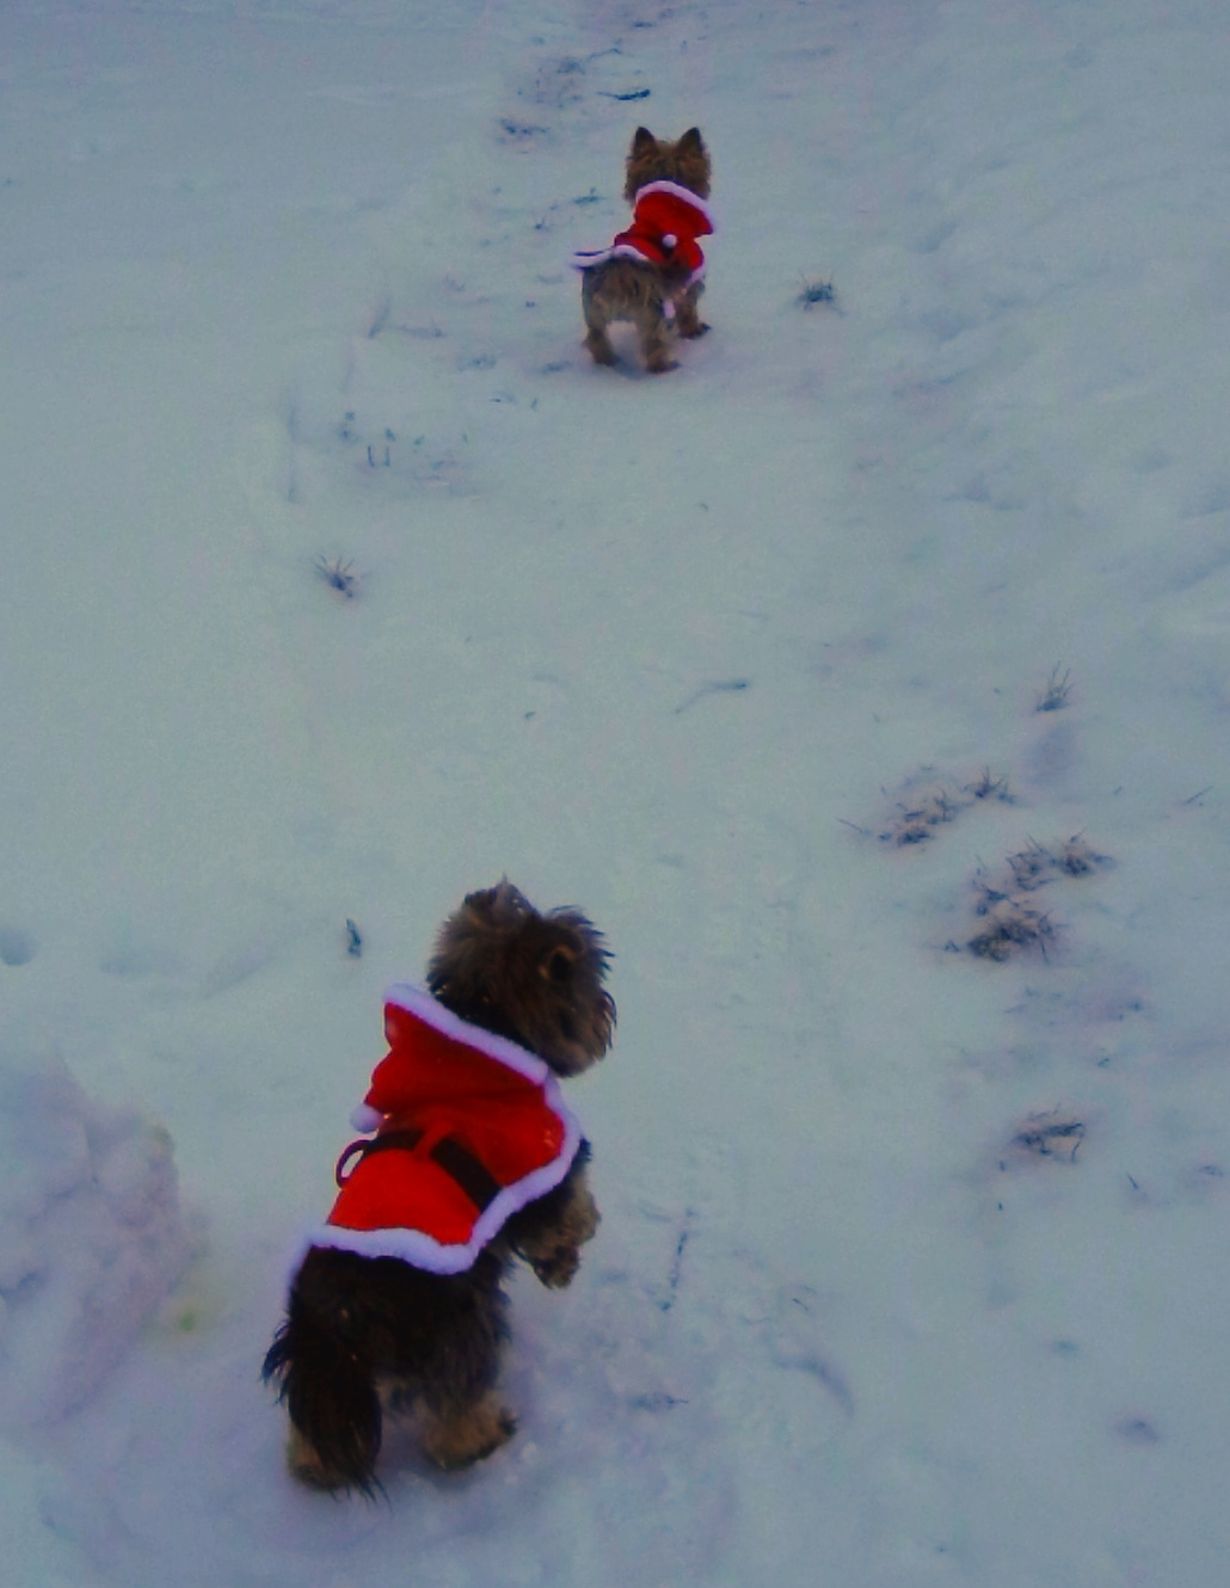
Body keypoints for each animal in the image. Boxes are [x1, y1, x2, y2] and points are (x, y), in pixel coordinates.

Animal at [262, 882, 615, 1494]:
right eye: (589, 984)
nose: (606, 1013)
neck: (480, 1033)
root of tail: (342, 1323)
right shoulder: (542, 1160)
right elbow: (567, 1212)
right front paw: (572, 1250)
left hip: (330, 1371)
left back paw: (315, 1466)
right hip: (462, 1325)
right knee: (458, 1400)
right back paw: (483, 1438)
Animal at [573, 126, 713, 373]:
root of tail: (616, 279)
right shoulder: (691, 272)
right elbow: (688, 307)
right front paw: (693, 330)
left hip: (593, 313)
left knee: (597, 339)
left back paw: (607, 364)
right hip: (651, 313)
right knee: (653, 345)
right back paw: (665, 368)